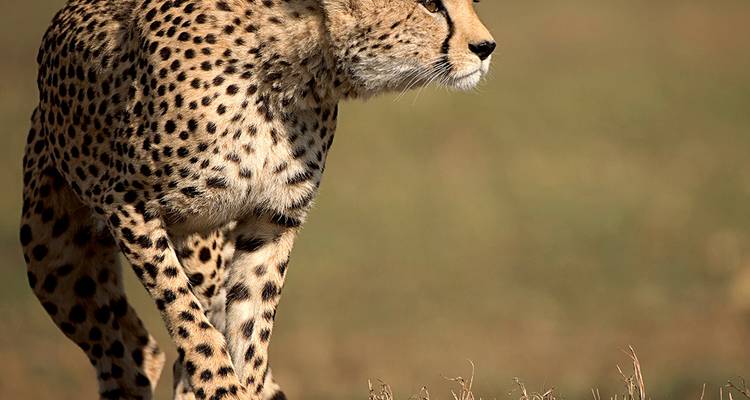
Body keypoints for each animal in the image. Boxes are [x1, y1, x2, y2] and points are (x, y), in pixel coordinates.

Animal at [19, 0, 495, 399]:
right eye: (430, 5)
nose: (486, 47)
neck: (289, 68)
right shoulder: (128, 205)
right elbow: (188, 318)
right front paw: (221, 386)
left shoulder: (271, 218)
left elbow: (251, 325)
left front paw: (241, 383)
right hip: (54, 259)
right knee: (125, 352)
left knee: (145, 350)